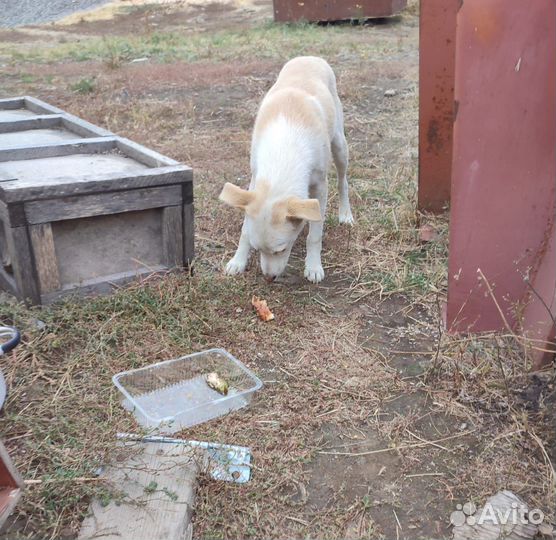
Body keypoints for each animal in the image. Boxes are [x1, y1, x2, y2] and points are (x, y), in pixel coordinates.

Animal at [217, 55, 352, 284]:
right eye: (257, 248)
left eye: (281, 249)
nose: (269, 278)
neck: (284, 153)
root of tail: (310, 57)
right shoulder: (254, 180)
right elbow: (245, 230)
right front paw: (238, 261)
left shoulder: (320, 187)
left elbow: (315, 234)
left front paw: (313, 266)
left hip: (340, 146)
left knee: (343, 181)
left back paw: (346, 214)